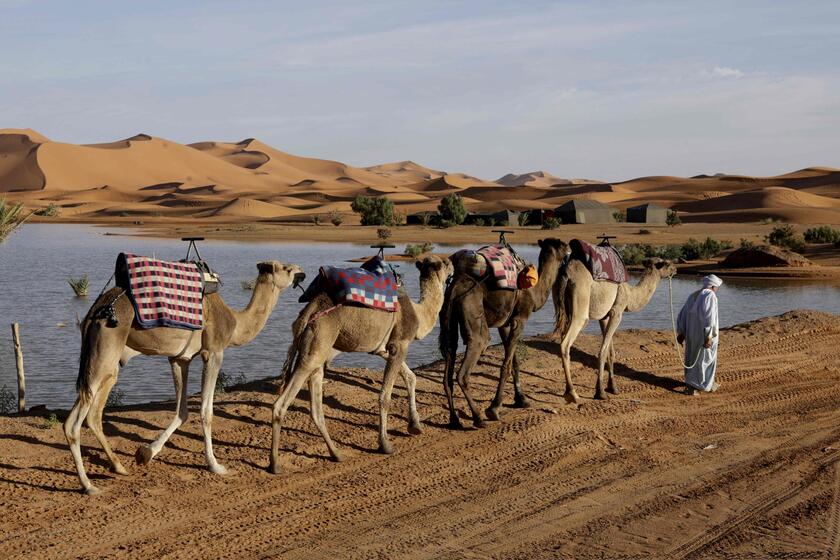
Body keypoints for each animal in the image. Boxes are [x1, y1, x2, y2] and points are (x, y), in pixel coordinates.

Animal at [65, 260, 304, 492]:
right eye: (287, 269)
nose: (302, 273)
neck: (235, 322)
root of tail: (94, 312)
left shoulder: (180, 359)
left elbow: (182, 411)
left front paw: (146, 453)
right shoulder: (214, 352)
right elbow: (206, 411)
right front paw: (215, 465)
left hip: (107, 365)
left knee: (93, 414)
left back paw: (119, 467)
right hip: (104, 354)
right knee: (75, 422)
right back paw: (88, 485)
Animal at [270, 256, 452, 474]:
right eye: (446, 262)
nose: (453, 265)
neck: (419, 313)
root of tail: (308, 313)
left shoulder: (383, 349)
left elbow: (411, 377)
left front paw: (415, 425)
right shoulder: (399, 344)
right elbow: (385, 396)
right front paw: (385, 445)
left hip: (316, 349)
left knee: (316, 406)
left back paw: (337, 454)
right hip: (314, 349)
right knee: (281, 404)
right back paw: (275, 464)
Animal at [436, 237, 568, 428]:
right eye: (563, 246)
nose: (570, 247)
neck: (533, 291)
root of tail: (454, 290)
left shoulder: (505, 324)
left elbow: (514, 362)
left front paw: (521, 400)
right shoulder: (520, 319)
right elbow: (505, 365)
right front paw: (494, 408)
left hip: (448, 320)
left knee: (448, 368)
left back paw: (455, 420)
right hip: (473, 316)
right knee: (465, 370)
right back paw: (478, 418)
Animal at [556, 256, 680, 404]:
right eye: (666, 263)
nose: (676, 269)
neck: (630, 293)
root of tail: (567, 275)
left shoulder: (604, 316)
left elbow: (611, 352)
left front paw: (613, 387)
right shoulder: (617, 311)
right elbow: (603, 351)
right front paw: (600, 392)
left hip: (563, 310)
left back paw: (567, 391)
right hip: (580, 305)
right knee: (565, 344)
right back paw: (572, 393)